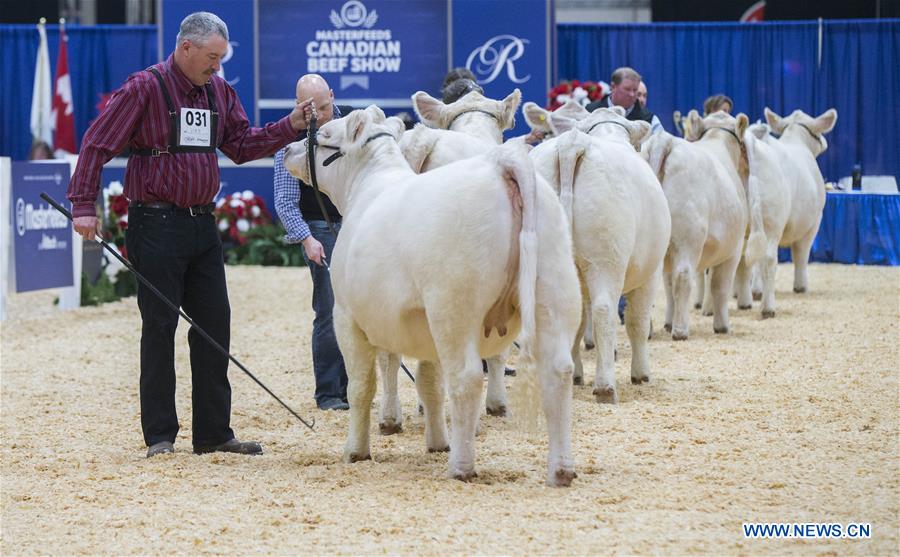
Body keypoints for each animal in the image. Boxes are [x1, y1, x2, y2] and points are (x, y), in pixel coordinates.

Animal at [284, 105, 584, 486]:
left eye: (323, 134)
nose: (287, 149)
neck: (368, 186)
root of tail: (501, 162)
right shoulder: (419, 322)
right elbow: (429, 383)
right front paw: (437, 441)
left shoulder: (348, 316)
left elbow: (362, 386)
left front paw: (356, 450)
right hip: (555, 291)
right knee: (557, 371)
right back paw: (561, 469)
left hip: (454, 308)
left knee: (467, 378)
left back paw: (462, 466)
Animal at [532, 107, 672, 404]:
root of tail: (572, 144)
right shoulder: (651, 272)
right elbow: (637, 320)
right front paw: (641, 373)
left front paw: (576, 374)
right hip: (606, 260)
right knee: (604, 310)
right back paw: (606, 387)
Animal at [644, 111, 764, 338]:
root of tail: (667, 141)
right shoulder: (733, 249)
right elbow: (720, 285)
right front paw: (722, 325)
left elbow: (668, 284)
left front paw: (667, 322)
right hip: (688, 239)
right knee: (683, 276)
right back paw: (681, 331)